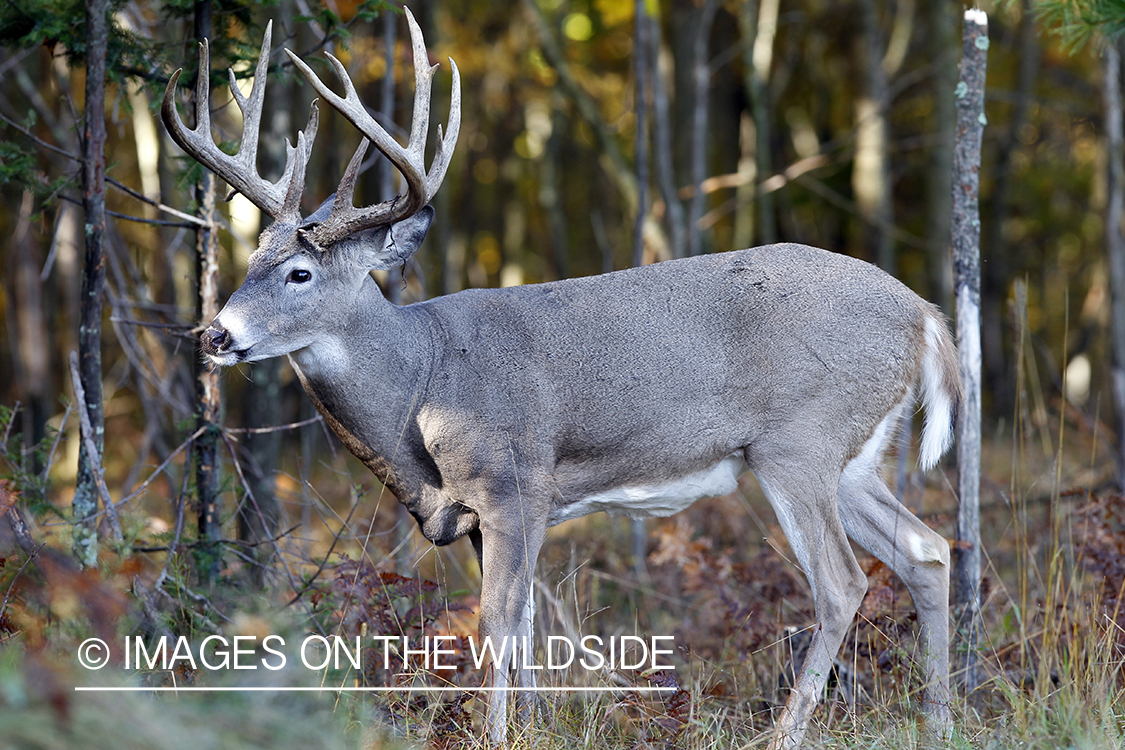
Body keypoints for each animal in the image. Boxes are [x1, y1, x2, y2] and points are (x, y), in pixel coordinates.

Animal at [160, 8, 958, 746]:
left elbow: (498, 618)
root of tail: (923, 313)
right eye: (248, 262)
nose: (215, 334)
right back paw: (939, 719)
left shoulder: (513, 481)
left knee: (843, 582)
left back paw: (787, 733)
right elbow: (526, 622)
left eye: (299, 272)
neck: (421, 383)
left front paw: (496, 735)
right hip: (854, 457)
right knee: (928, 551)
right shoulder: (489, 511)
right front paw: (534, 725)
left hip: (800, 441)